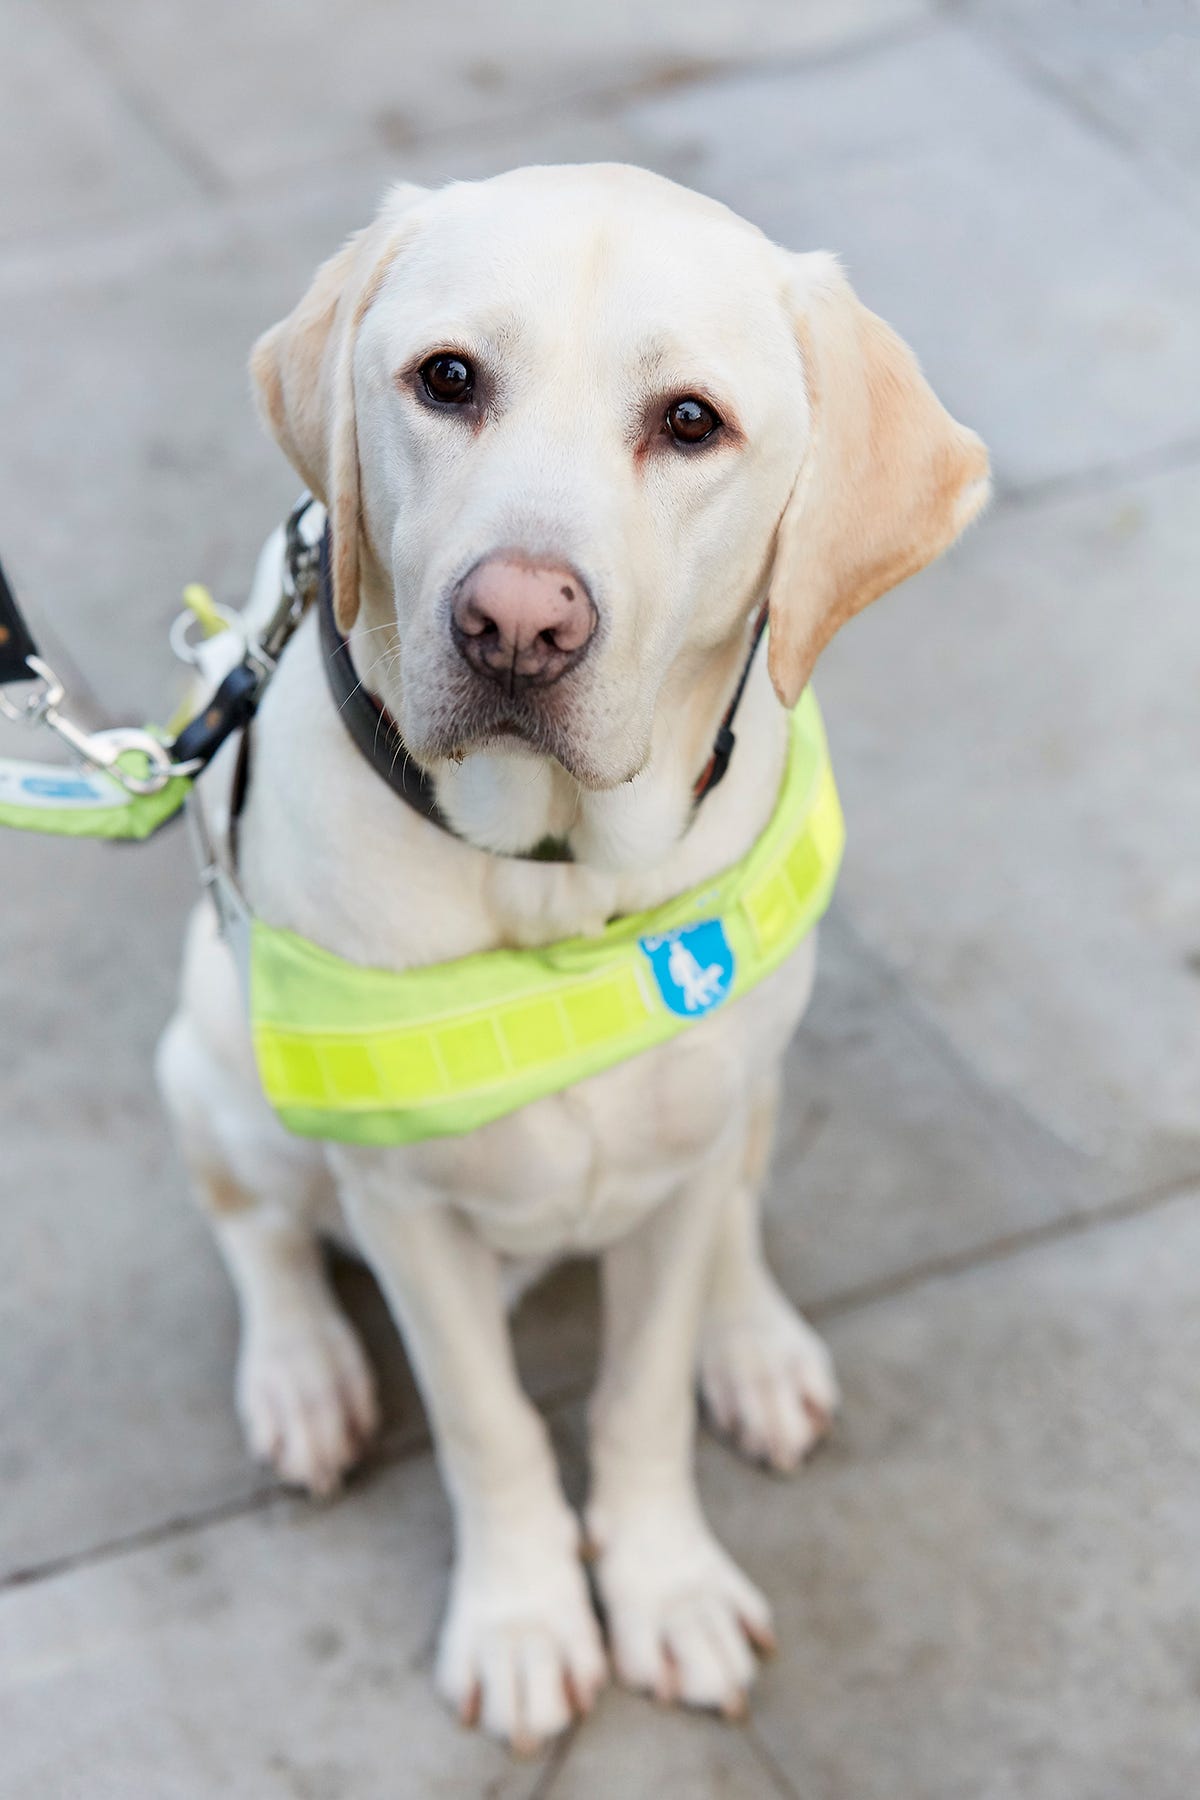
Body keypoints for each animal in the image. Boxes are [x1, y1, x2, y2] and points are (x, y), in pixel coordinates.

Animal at [157, 165, 985, 1742]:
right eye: (446, 380)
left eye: (691, 422)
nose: (517, 622)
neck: (552, 878)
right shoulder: (404, 1206)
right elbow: (487, 1427)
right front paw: (527, 1618)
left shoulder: (680, 1159)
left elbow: (640, 1396)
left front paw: (665, 1585)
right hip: (216, 1057)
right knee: (253, 1223)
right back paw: (300, 1376)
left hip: (748, 1081)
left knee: (737, 1205)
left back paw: (753, 1343)